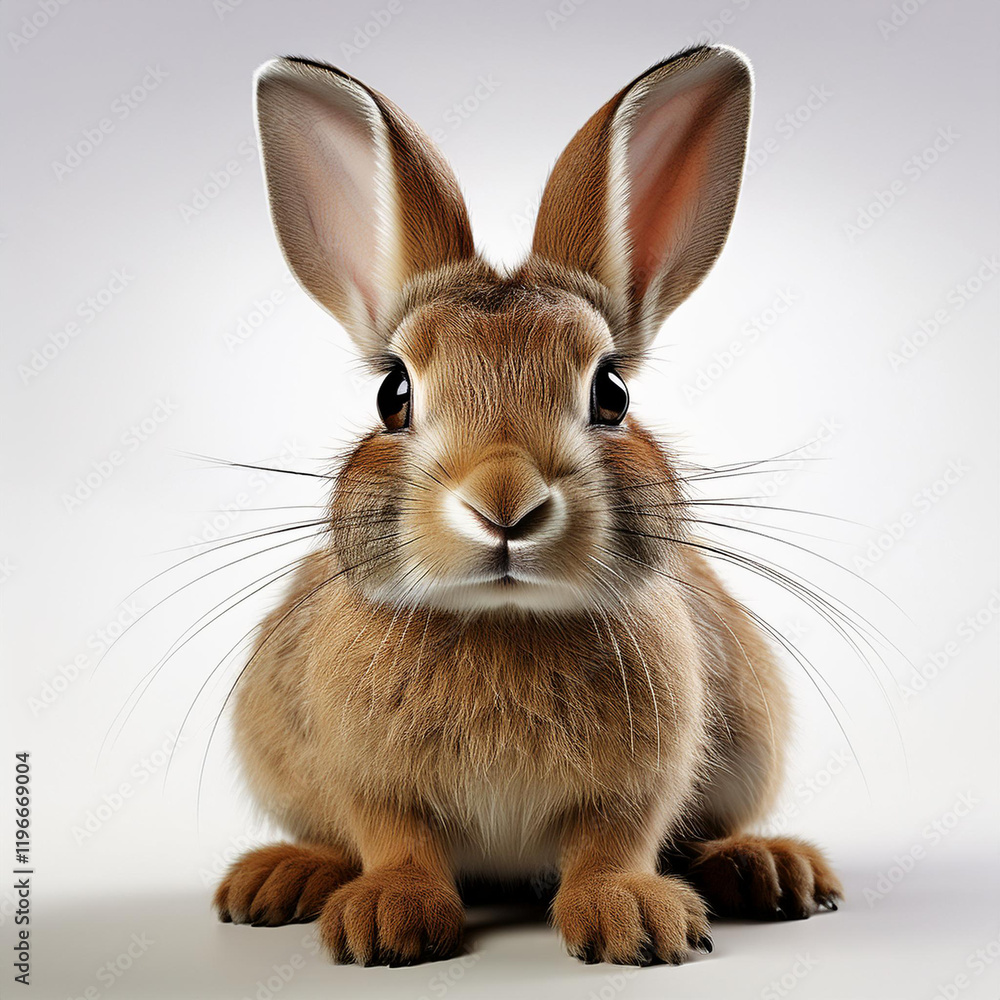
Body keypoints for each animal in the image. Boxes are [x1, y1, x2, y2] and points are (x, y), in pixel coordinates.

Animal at [213, 44, 843, 967]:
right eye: (393, 396)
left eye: (612, 394)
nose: (503, 502)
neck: (503, 619)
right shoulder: (367, 776)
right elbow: (394, 836)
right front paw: (388, 921)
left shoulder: (640, 781)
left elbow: (614, 841)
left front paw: (632, 921)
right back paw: (278, 879)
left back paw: (769, 869)